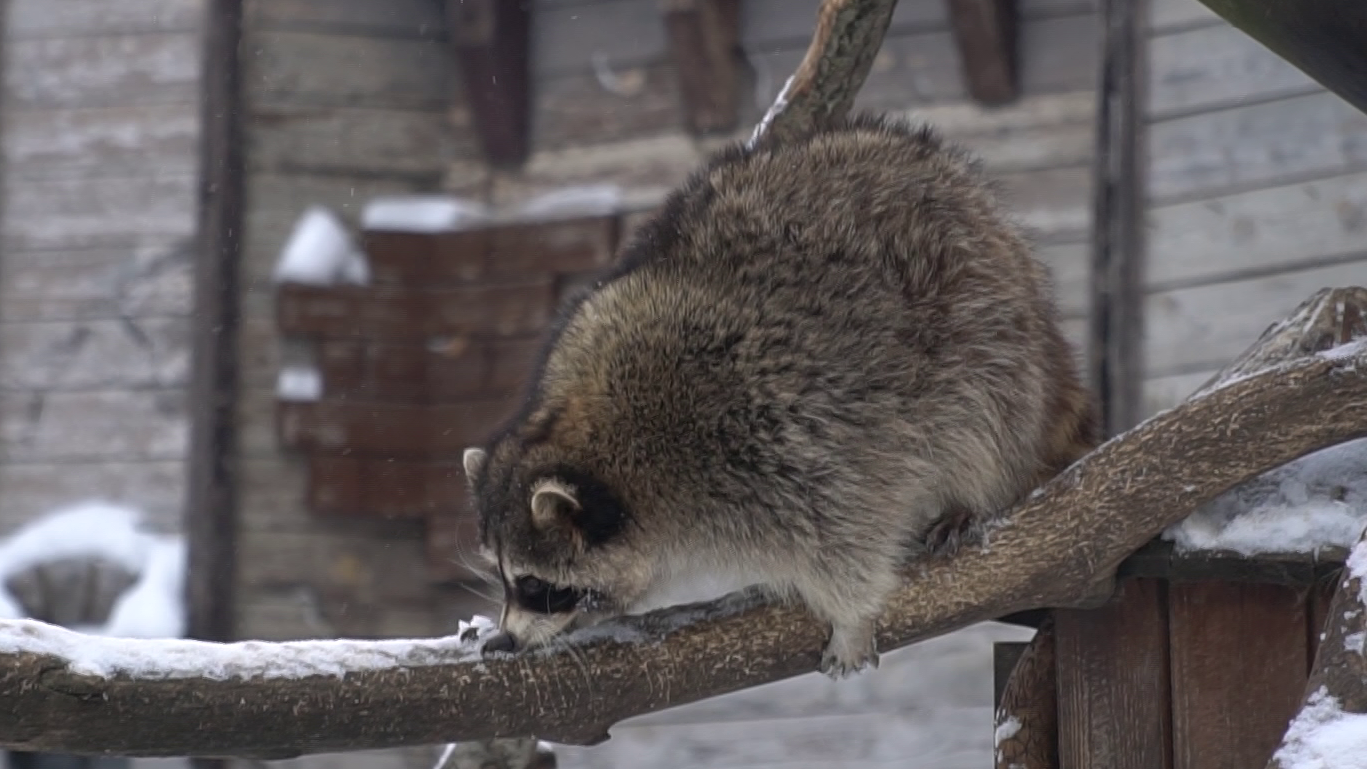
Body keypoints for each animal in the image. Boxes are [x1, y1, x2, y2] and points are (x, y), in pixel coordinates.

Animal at [462, 111, 1099, 677]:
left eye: (535, 584)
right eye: (503, 577)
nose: (505, 641)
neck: (615, 440)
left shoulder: (777, 434)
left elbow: (849, 529)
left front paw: (852, 615)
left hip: (981, 326)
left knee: (980, 409)